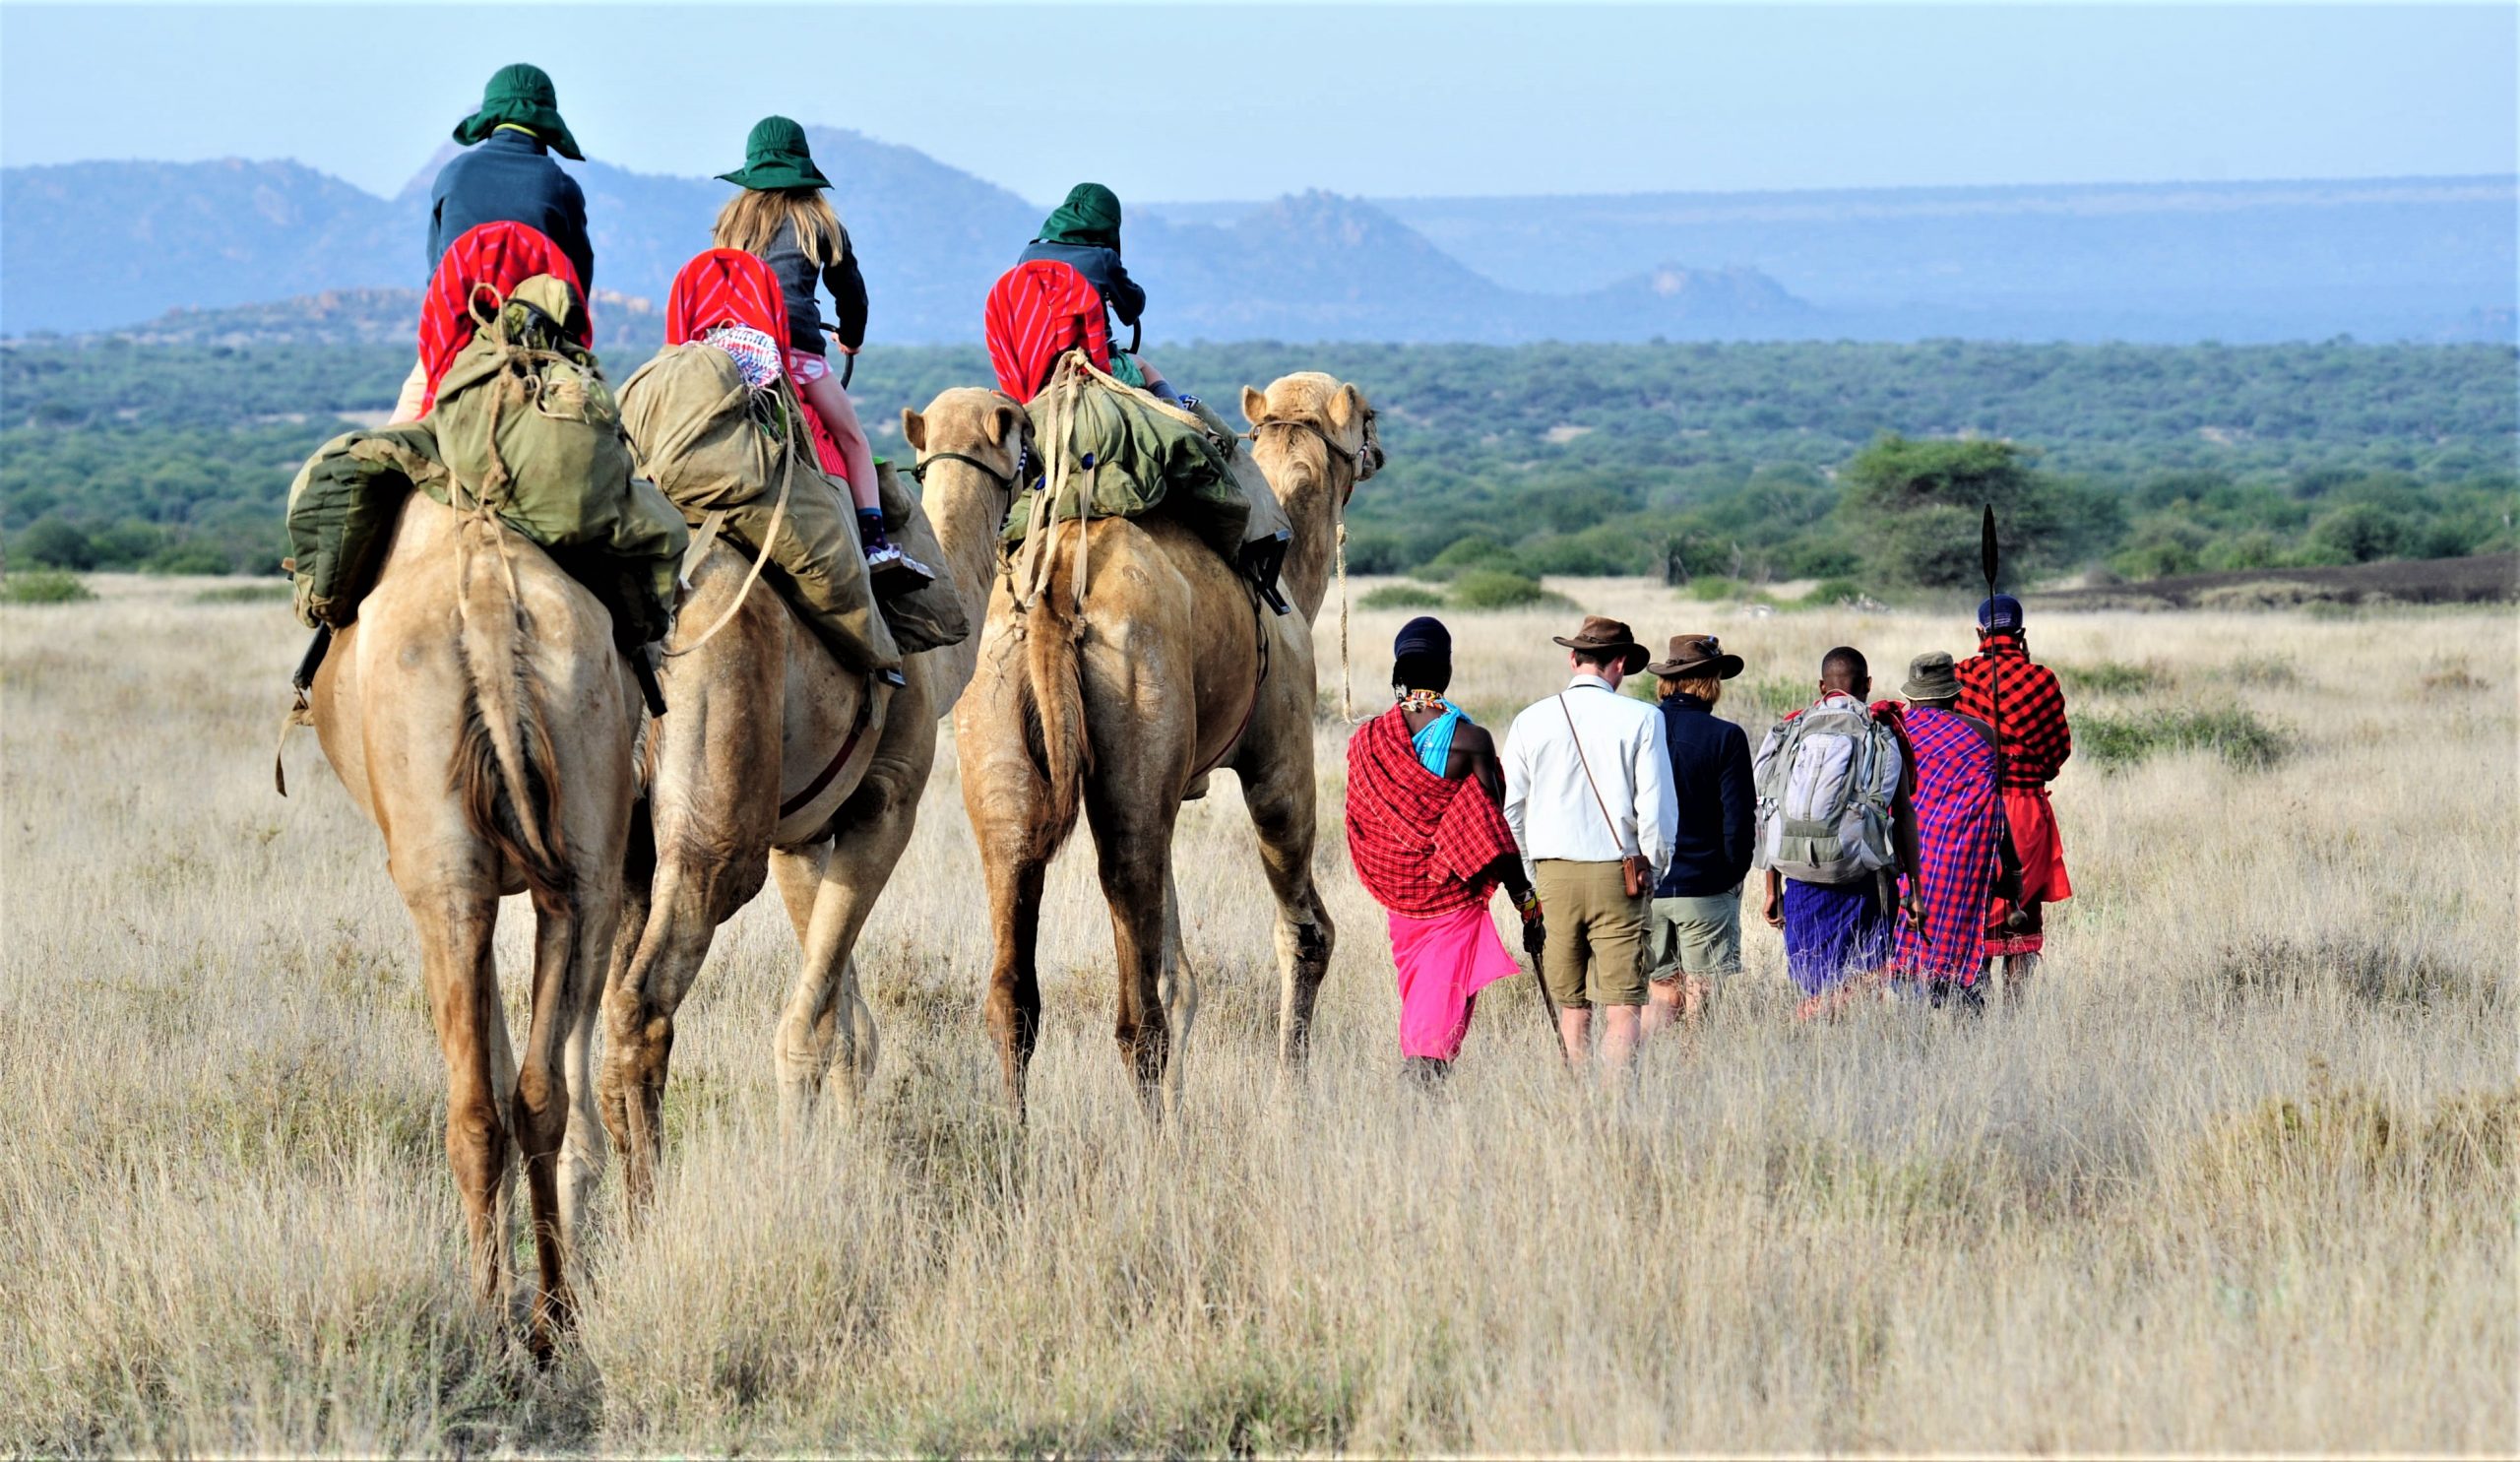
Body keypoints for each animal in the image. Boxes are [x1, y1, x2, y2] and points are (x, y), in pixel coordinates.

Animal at [307, 493, 637, 1353]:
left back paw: (492, 1313)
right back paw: (554, 1317)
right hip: (585, 843)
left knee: (473, 1109)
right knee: (538, 1094)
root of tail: (487, 604)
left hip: (444, 873)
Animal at [595, 388, 1017, 1213]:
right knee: (643, 998)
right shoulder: (886, 803)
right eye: (1020, 428)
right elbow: (811, 1024)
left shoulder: (803, 832)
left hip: (619, 833)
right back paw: (643, 1206)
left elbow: (844, 1018)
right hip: (717, 811)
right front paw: (805, 1173)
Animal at [955, 370, 1382, 1115]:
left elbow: (1178, 971)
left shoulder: (1175, 787)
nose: (1378, 450)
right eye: (1366, 416)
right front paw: (1289, 1099)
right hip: (1137, 705)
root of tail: (1056, 587)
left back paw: (1012, 1134)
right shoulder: (1281, 747)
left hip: (996, 719)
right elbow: (1306, 932)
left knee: (1015, 959)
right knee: (1136, 999)